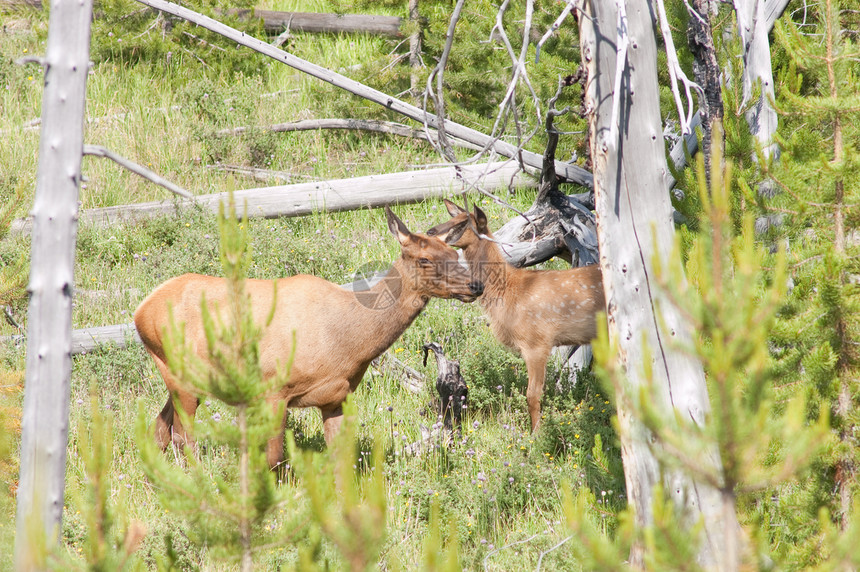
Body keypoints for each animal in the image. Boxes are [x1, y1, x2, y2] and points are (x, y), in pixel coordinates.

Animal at [134, 208, 484, 466]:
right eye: (424, 259)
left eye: (453, 252)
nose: (476, 285)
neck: (348, 341)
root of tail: (141, 309)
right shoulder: (273, 391)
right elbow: (273, 458)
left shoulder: (337, 397)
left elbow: (342, 459)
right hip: (181, 376)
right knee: (182, 437)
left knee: (159, 430)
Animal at [428, 199, 604, 432]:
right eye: (452, 217)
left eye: (463, 223)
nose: (430, 232)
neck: (508, 291)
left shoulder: (536, 342)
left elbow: (533, 395)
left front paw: (536, 434)